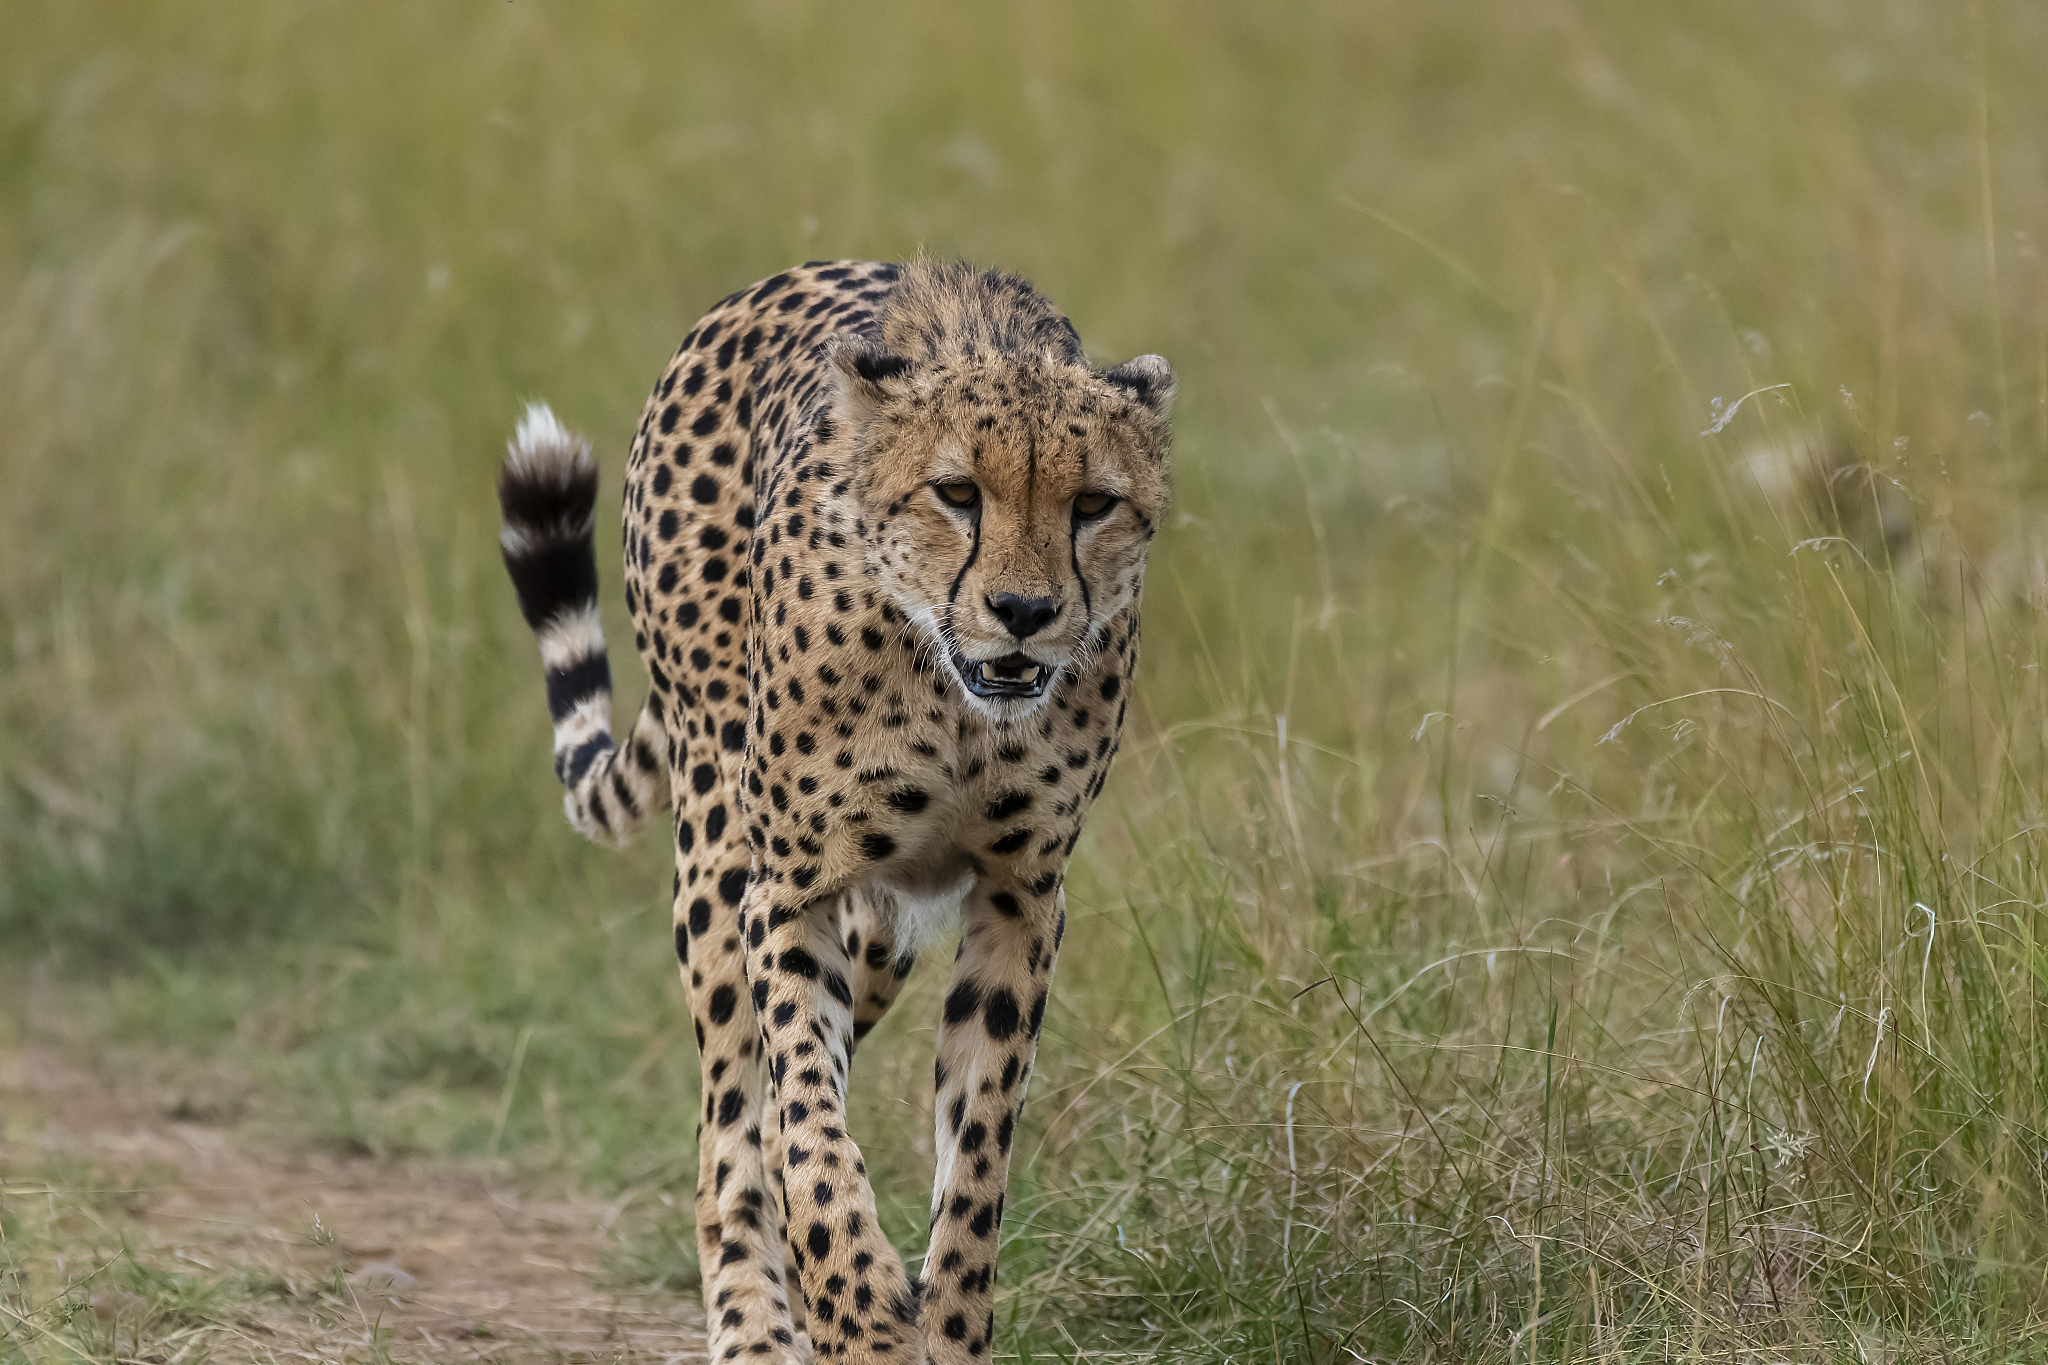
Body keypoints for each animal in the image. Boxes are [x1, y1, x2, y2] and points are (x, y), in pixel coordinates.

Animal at [495, 258, 1174, 1363]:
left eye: (1093, 505)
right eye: (957, 493)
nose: (1024, 614)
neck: (955, 698)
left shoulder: (1021, 894)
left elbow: (976, 1152)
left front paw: (946, 1324)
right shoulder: (790, 888)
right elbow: (806, 1123)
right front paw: (858, 1310)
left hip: (884, 928)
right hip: (717, 851)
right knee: (734, 1115)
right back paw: (757, 1323)